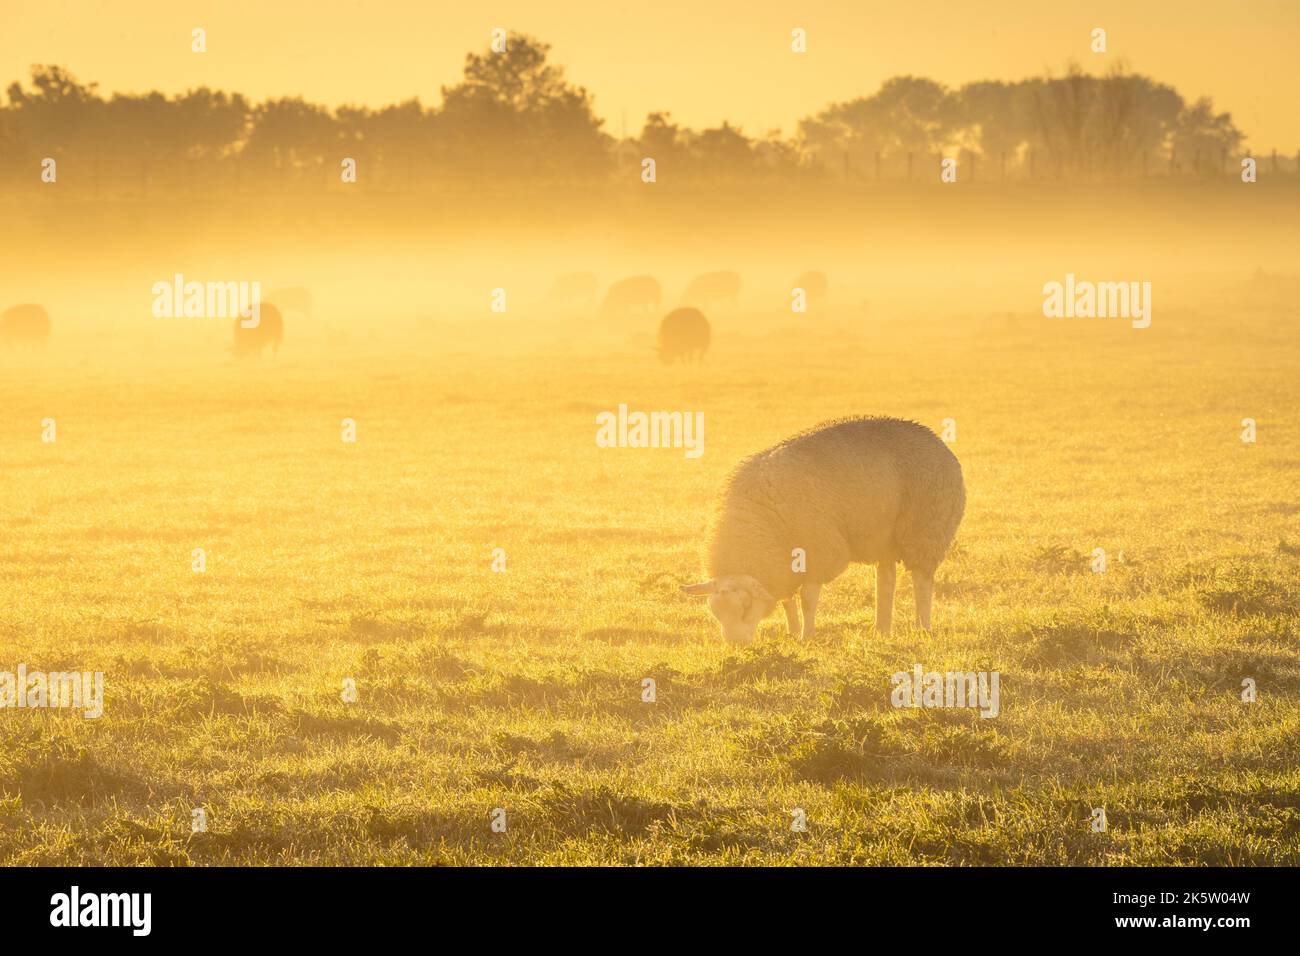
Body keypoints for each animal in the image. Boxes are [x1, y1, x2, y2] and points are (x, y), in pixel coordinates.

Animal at [681, 416, 967, 642]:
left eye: (746, 605)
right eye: (715, 611)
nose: (736, 644)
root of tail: (938, 443)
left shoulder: (818, 553)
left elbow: (807, 598)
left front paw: (806, 636)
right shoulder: (782, 565)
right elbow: (787, 600)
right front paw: (792, 631)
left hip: (927, 531)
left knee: (922, 581)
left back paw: (922, 627)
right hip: (884, 537)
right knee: (885, 581)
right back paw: (881, 629)